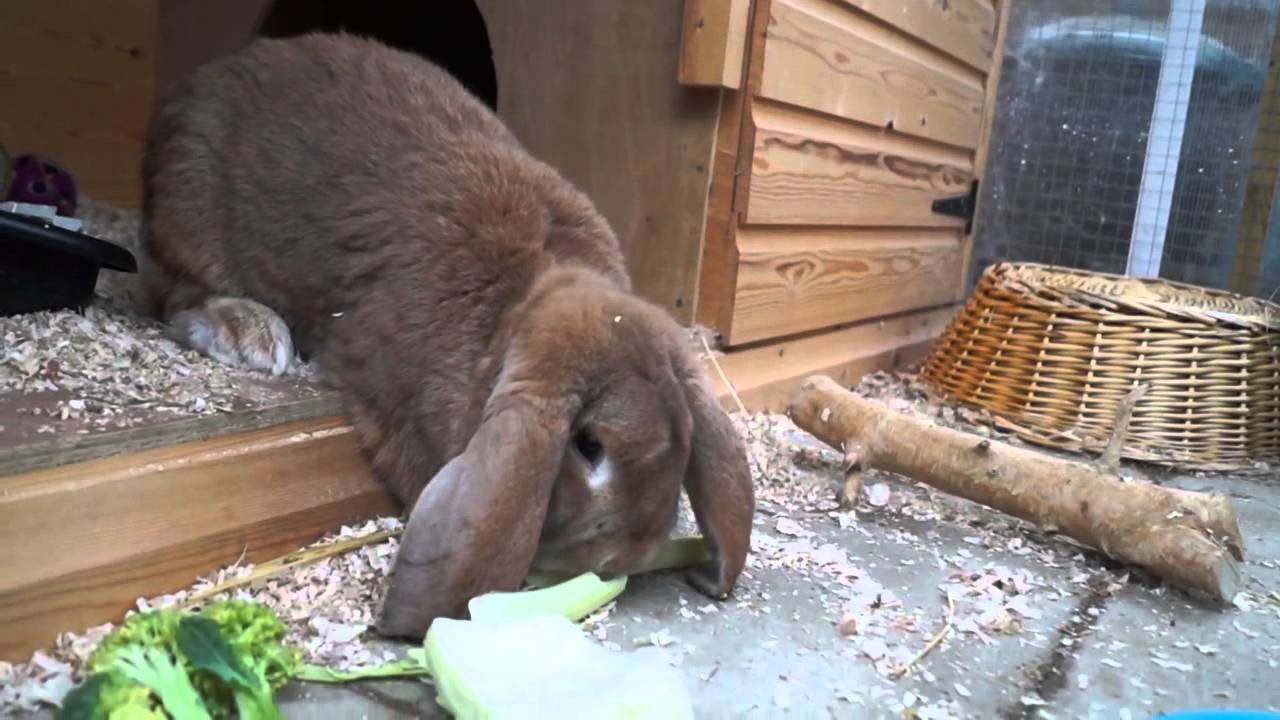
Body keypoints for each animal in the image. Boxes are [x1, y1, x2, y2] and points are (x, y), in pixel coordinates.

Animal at [137, 33, 757, 635]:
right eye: (589, 446)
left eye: (683, 449)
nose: (620, 557)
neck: (523, 301)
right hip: (191, 212)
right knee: (171, 294)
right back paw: (249, 332)